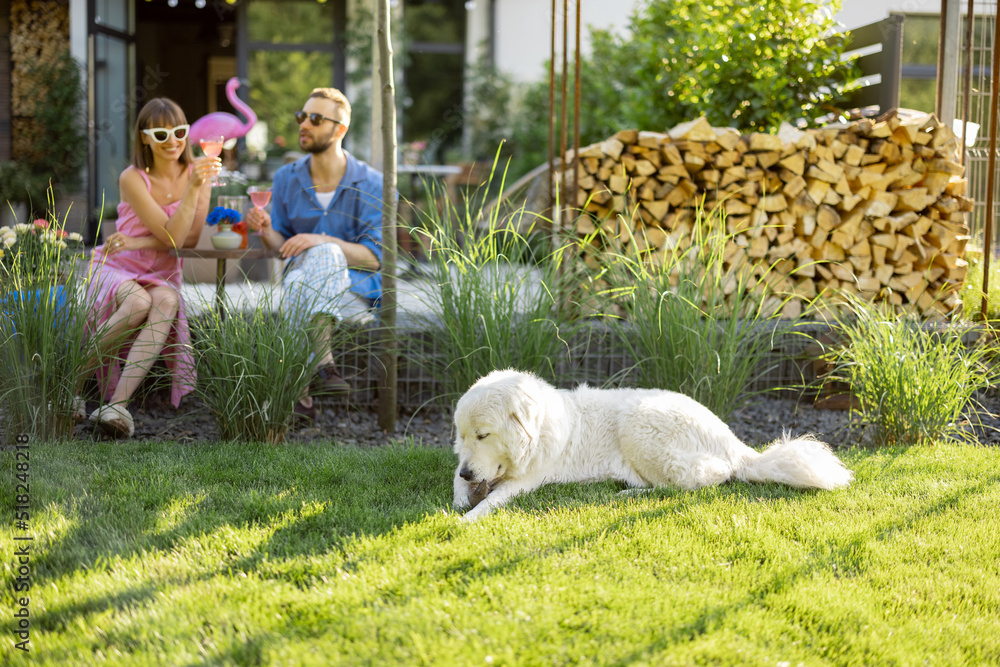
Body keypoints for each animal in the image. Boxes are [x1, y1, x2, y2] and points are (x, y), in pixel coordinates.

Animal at [454, 370, 852, 520]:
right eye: (462, 435)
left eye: (484, 435)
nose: (468, 471)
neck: (536, 433)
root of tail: (733, 443)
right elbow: (459, 482)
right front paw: (460, 497)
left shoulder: (528, 480)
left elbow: (496, 498)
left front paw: (469, 518)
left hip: (638, 424)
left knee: (697, 481)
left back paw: (627, 494)